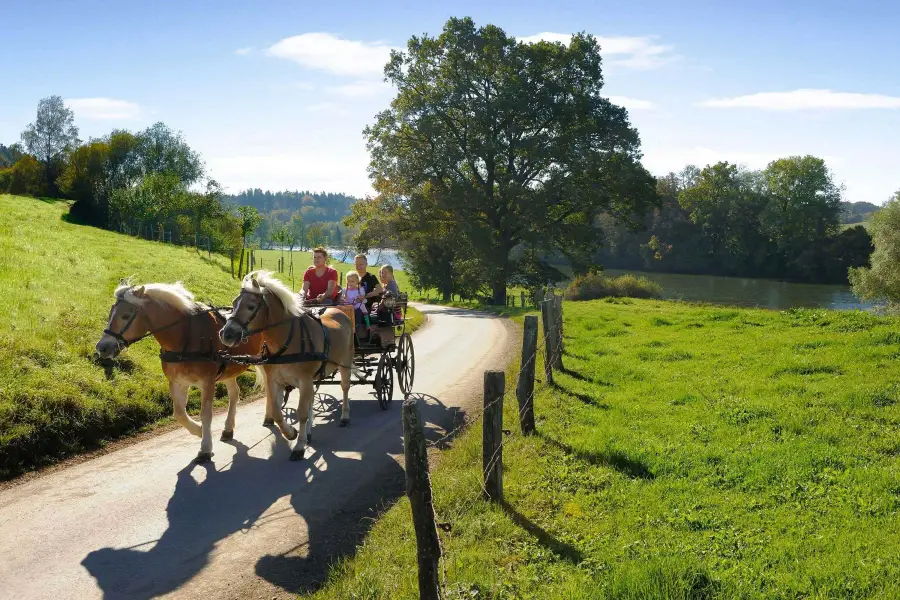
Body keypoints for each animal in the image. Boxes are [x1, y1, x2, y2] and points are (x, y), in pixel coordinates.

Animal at [96, 284, 264, 462]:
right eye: (111, 313)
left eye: (126, 315)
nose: (102, 347)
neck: (185, 337)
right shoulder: (178, 382)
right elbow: (179, 413)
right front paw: (199, 431)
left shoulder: (208, 382)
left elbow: (206, 414)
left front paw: (205, 448)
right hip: (228, 370)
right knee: (234, 394)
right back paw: (228, 429)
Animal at [218, 270, 356, 462]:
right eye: (233, 303)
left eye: (251, 306)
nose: (226, 334)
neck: (287, 341)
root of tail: (340, 312)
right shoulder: (275, 381)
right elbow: (277, 412)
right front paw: (291, 433)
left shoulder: (304, 380)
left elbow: (301, 413)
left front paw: (298, 446)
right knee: (312, 397)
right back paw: (309, 432)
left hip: (344, 363)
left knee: (345, 387)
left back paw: (344, 416)